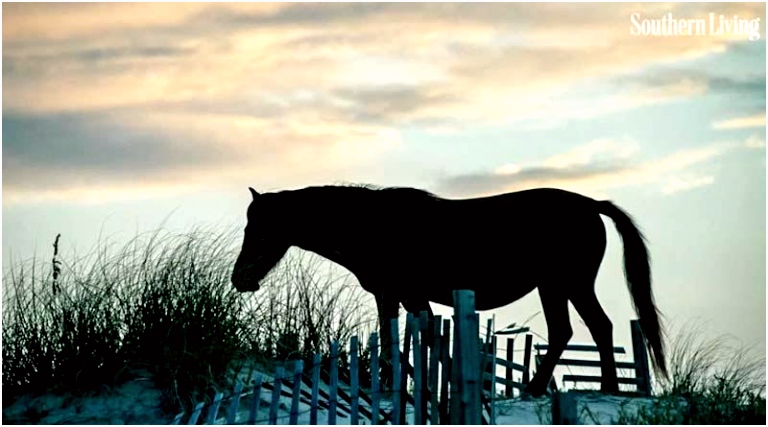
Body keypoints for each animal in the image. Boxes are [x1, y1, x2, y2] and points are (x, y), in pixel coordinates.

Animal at [230, 184, 668, 398]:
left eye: (260, 230)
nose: (240, 278)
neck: (373, 225)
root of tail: (591, 204)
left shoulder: (397, 294)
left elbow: (402, 343)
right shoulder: (402, 298)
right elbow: (414, 340)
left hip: (563, 284)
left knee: (577, 329)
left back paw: (551, 389)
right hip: (562, 286)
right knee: (593, 327)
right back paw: (602, 387)